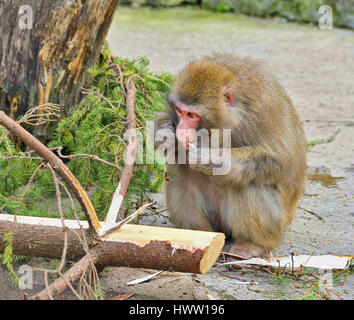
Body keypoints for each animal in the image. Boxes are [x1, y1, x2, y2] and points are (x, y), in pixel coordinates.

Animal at [155, 53, 306, 258]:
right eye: (179, 111)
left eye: (192, 115)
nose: (180, 130)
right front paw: (166, 133)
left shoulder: (262, 111)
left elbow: (282, 162)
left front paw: (210, 159)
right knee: (180, 170)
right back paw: (198, 235)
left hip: (277, 224)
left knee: (247, 180)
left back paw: (251, 244)